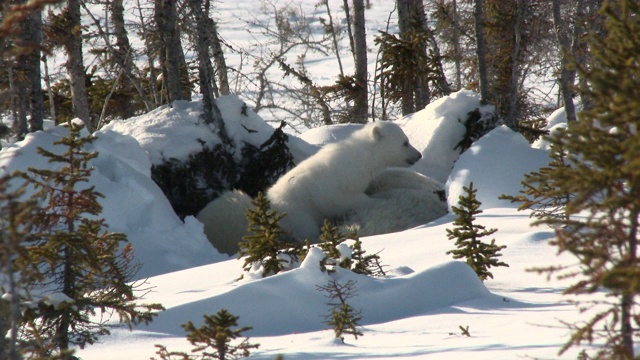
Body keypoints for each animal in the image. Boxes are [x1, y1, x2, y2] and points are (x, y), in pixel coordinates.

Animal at [198, 121, 422, 256]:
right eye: (405, 142)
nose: (419, 155)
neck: (361, 156)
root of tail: (270, 209)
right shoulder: (337, 183)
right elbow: (344, 199)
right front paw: (380, 200)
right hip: (299, 214)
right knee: (307, 230)